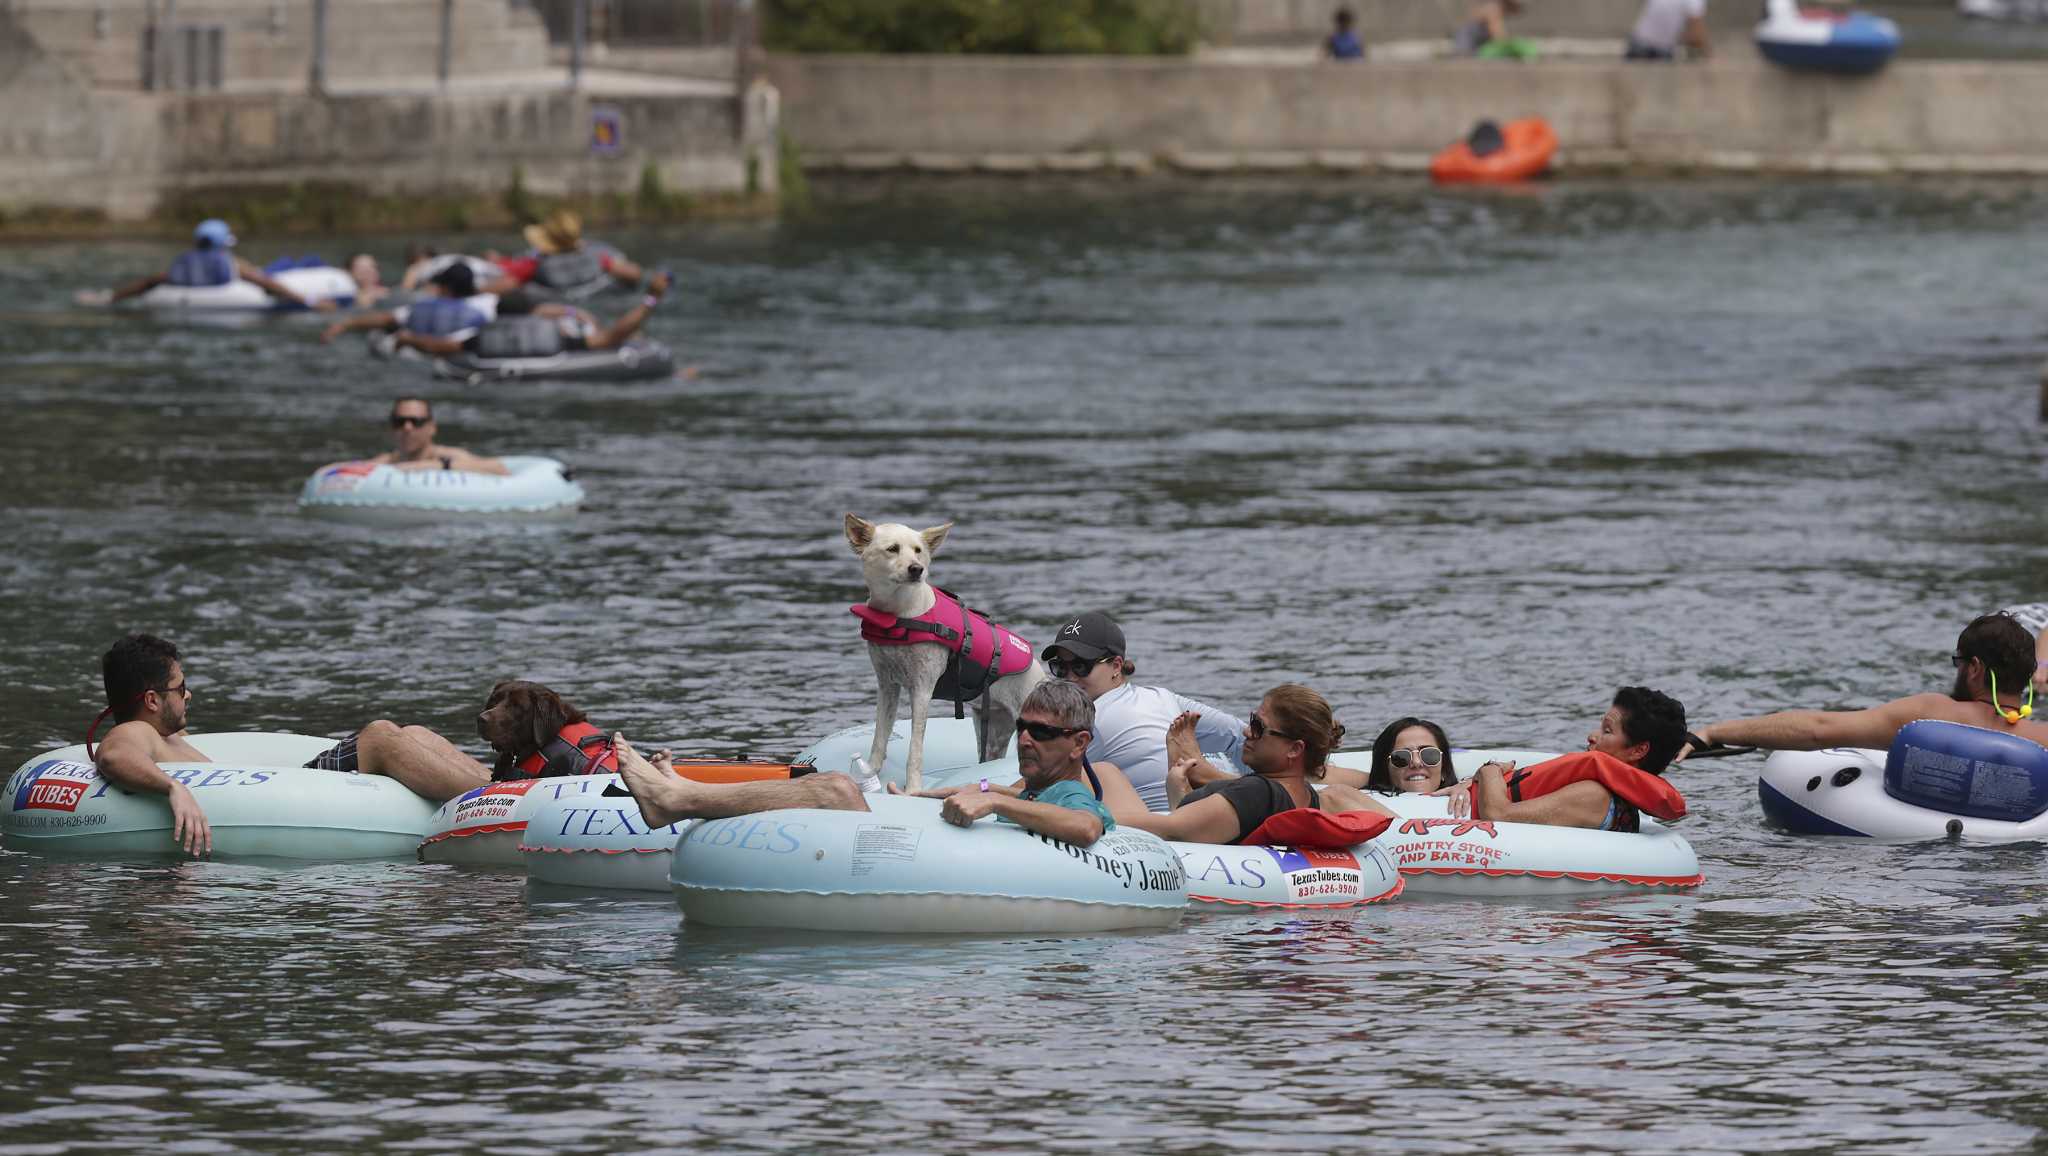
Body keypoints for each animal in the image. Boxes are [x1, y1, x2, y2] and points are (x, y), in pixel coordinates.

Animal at [843, 514, 1048, 795]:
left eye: (918, 550)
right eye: (892, 549)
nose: (916, 569)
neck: (900, 614)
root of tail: (1041, 676)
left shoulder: (922, 687)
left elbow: (915, 749)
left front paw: (912, 790)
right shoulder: (886, 685)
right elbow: (879, 737)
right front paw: (869, 774)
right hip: (992, 729)